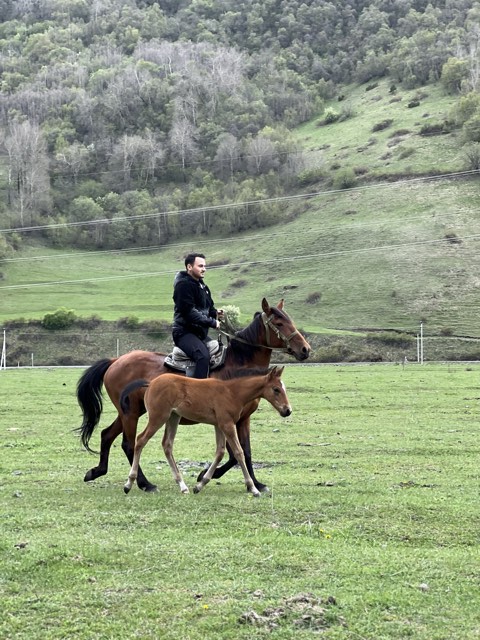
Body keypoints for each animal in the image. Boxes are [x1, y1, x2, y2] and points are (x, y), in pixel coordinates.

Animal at [121, 366, 291, 497]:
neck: (232, 392)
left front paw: (200, 484)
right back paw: (129, 484)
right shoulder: (227, 424)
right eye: (276, 389)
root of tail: (151, 383)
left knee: (167, 445)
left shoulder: (219, 425)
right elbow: (239, 452)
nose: (287, 411)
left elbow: (220, 452)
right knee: (140, 440)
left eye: (283, 388)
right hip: (158, 417)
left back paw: (183, 486)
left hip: (173, 417)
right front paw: (254, 488)